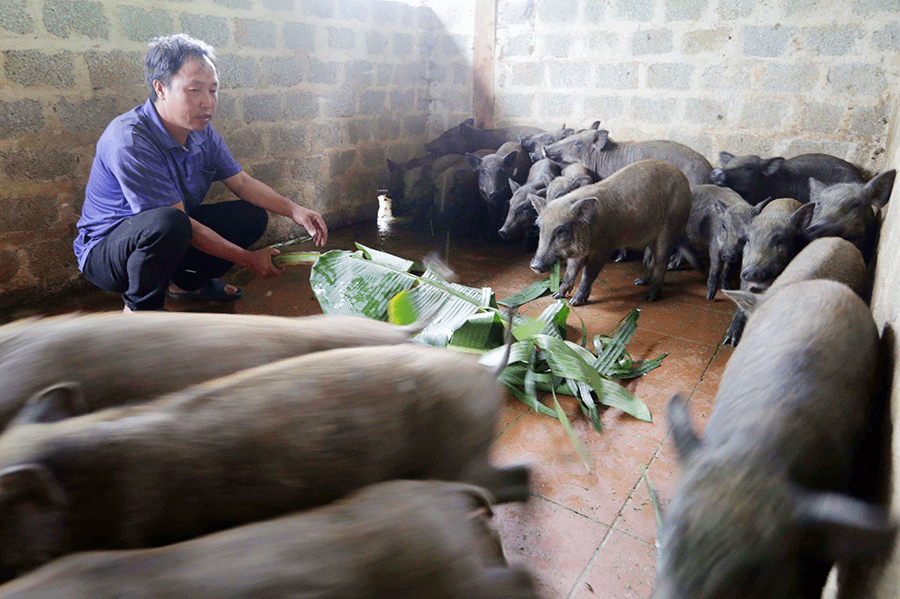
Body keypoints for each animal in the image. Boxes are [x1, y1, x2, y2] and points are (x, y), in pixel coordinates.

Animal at [529, 159, 692, 305]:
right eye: (540, 226)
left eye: (561, 230)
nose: (535, 265)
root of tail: (684, 179)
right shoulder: (579, 253)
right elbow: (570, 271)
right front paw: (556, 296)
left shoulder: (603, 248)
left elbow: (587, 274)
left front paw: (574, 302)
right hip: (652, 237)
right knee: (652, 260)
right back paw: (639, 282)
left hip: (670, 226)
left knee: (662, 261)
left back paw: (650, 297)